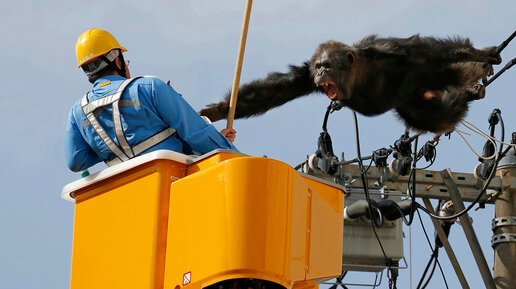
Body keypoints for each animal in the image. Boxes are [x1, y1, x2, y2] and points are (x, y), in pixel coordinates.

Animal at [199, 34, 500, 133]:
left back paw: (471, 86)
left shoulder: (393, 51)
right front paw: (217, 110)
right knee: (432, 117)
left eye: (327, 65)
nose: (321, 74)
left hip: (428, 78)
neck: (359, 75)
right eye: (318, 66)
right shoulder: (305, 76)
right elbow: (270, 92)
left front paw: (478, 54)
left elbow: (425, 50)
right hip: (412, 102)